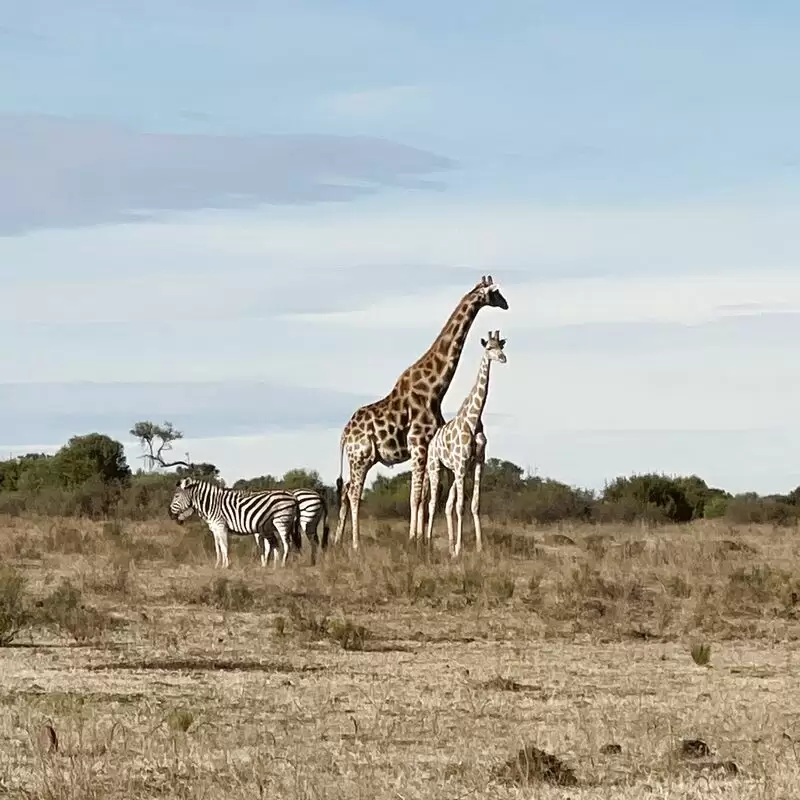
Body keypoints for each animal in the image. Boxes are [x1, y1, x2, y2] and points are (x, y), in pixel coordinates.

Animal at [167, 478, 298, 564]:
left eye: (176, 496)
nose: (169, 514)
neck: (212, 504)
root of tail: (292, 496)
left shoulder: (221, 526)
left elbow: (224, 546)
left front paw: (226, 566)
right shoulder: (214, 528)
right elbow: (218, 547)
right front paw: (218, 565)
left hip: (281, 521)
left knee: (287, 544)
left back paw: (283, 565)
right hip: (271, 526)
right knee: (274, 545)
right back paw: (275, 566)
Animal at [424, 330, 506, 556]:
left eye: (501, 345)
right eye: (489, 347)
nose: (503, 358)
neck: (474, 419)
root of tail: (432, 442)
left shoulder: (477, 462)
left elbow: (474, 504)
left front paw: (478, 547)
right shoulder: (461, 464)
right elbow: (460, 506)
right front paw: (460, 548)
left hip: (453, 472)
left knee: (447, 504)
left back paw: (450, 547)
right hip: (436, 467)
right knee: (433, 503)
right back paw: (428, 543)